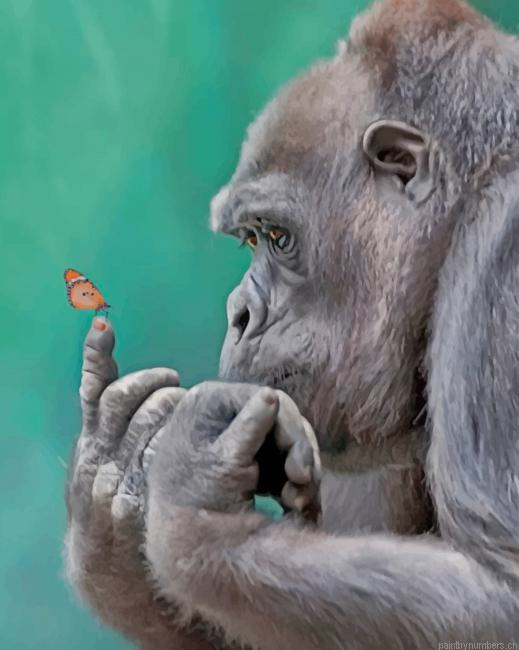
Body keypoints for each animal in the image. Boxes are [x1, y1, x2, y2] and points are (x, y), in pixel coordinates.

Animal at [64, 0, 519, 648]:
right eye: (249, 240)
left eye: (278, 237)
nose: (238, 313)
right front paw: (110, 483)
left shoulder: (502, 247)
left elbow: (500, 591)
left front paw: (197, 508)